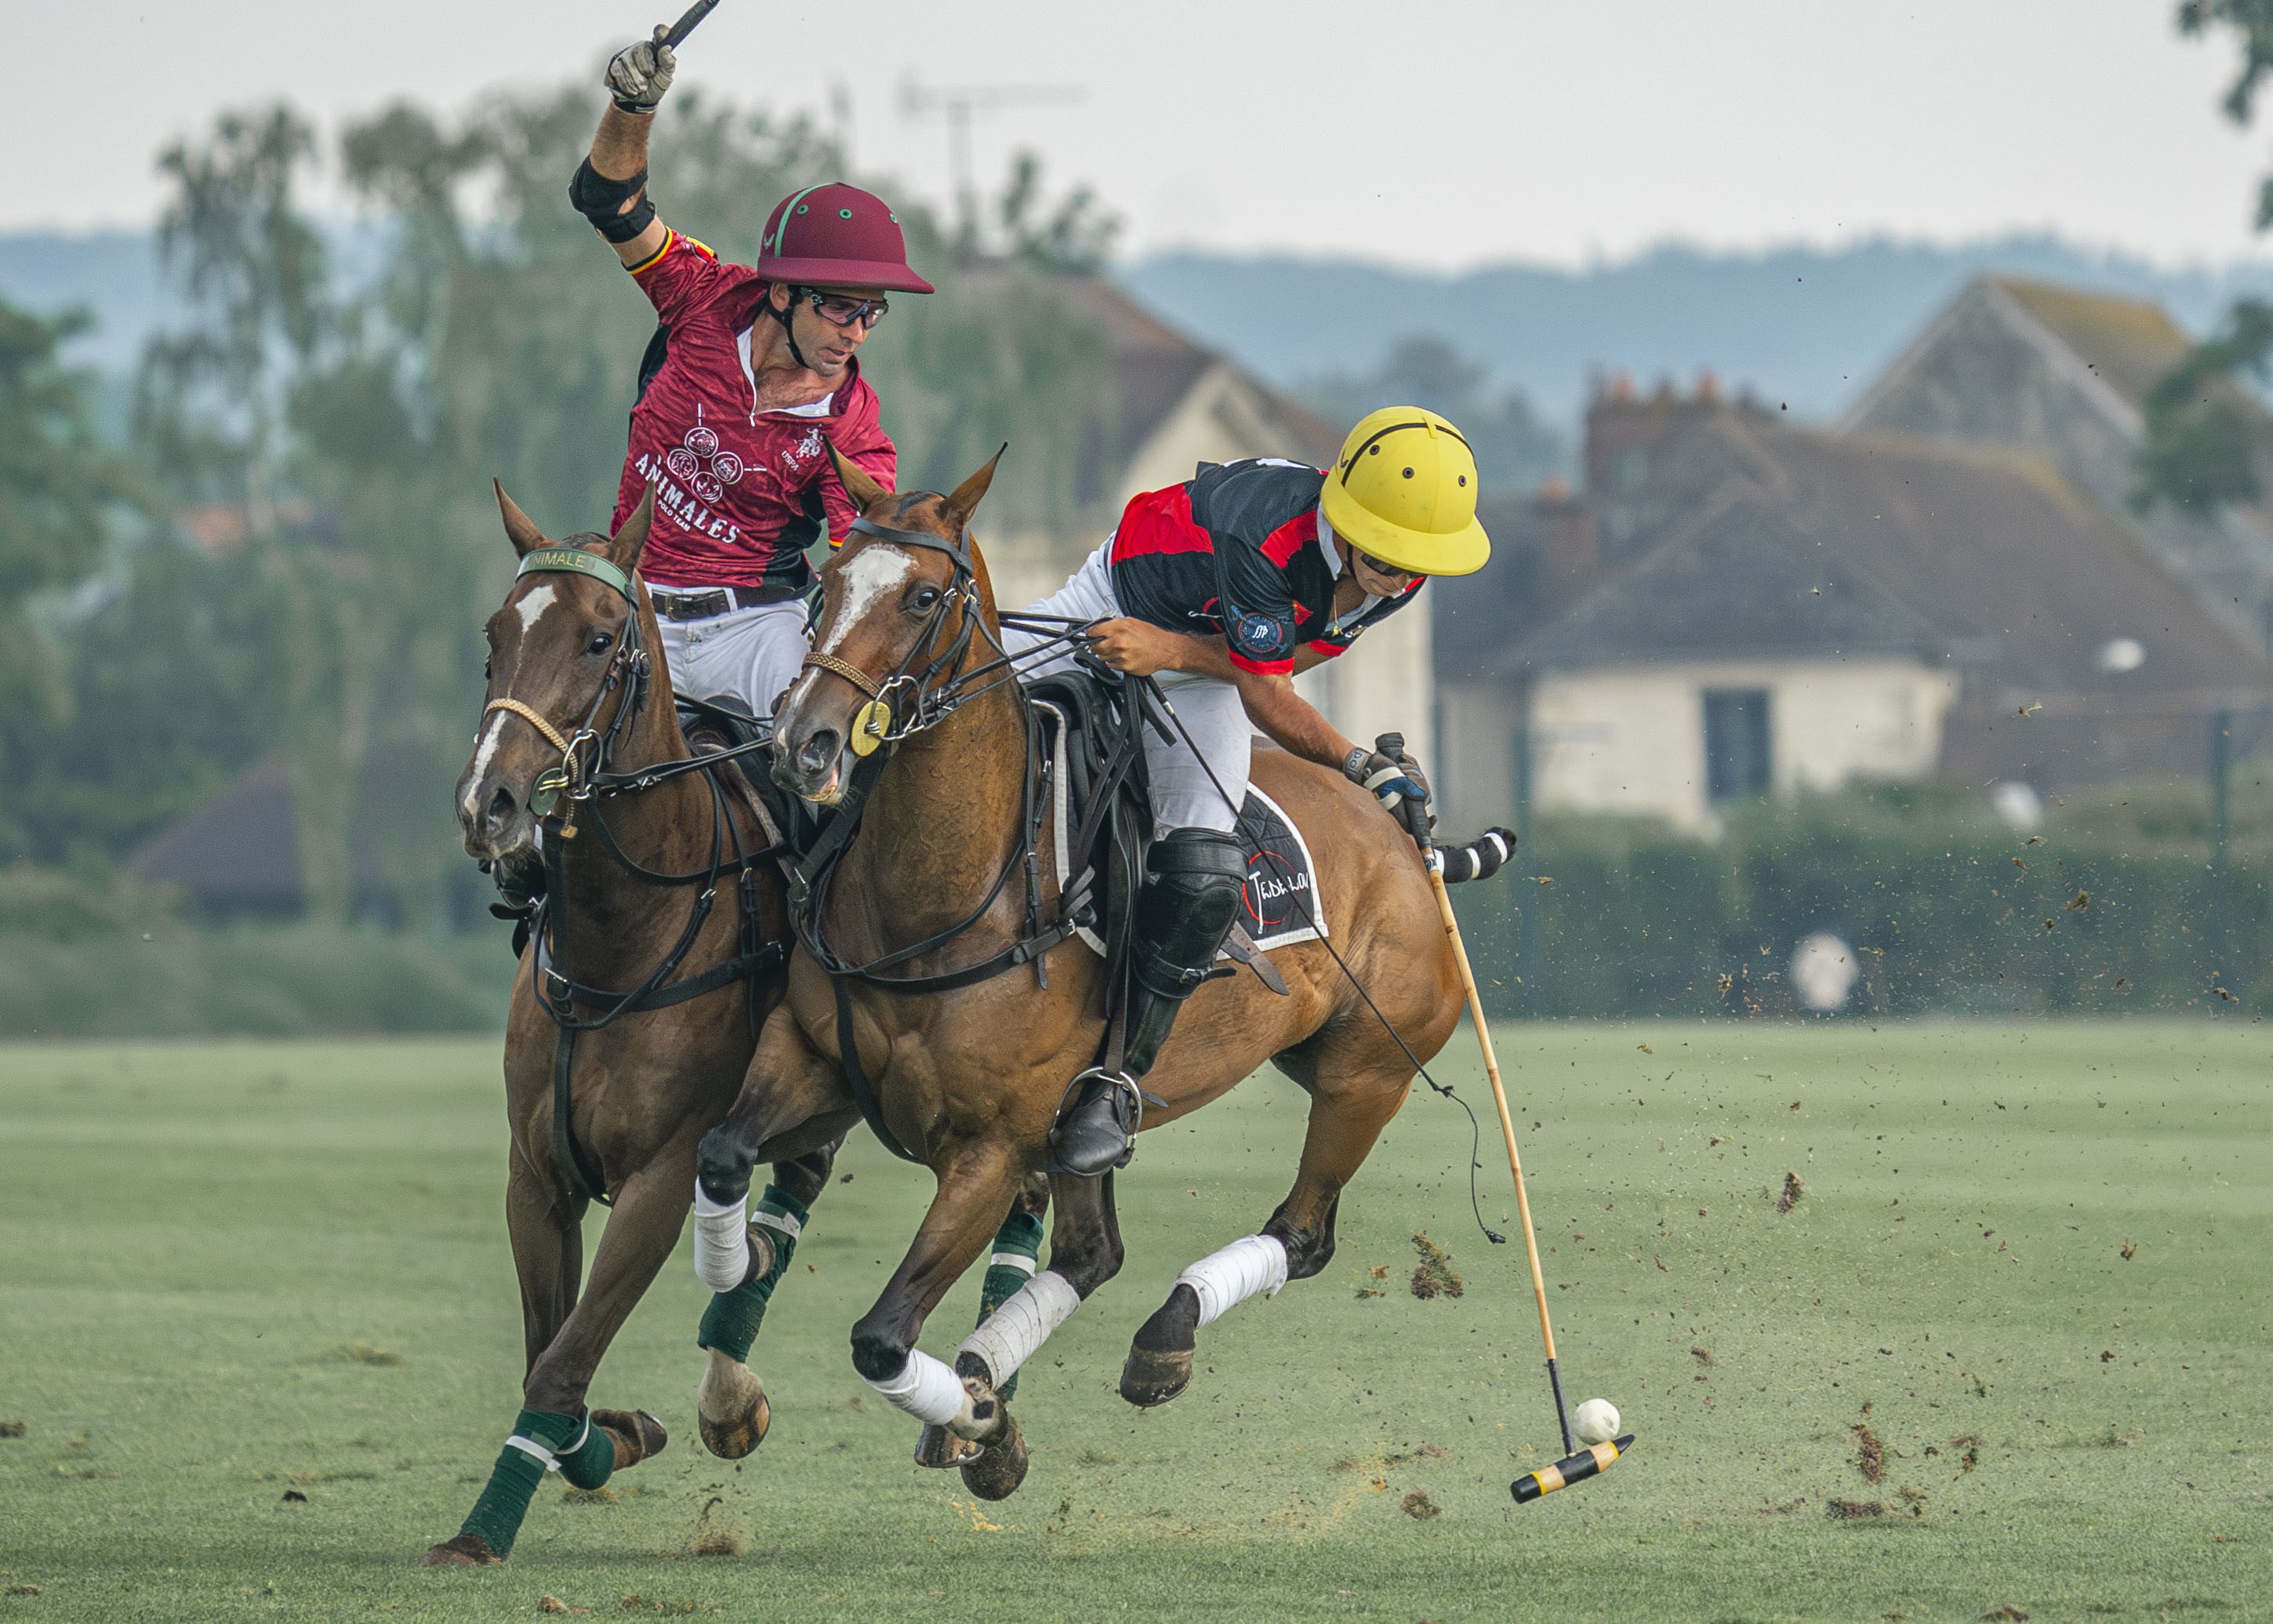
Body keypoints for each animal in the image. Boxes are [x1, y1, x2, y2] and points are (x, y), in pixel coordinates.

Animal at [429, 480, 850, 1555]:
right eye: (494, 636)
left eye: (596, 640)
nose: (488, 805)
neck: (622, 941)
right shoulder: (537, 1174)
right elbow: (549, 1357)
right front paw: (613, 1435)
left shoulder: (661, 1177)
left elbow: (562, 1361)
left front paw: (484, 1530)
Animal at [691, 452, 1463, 1491]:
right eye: (827, 584)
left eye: (924, 596)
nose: (799, 744)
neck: (936, 894)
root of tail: (1404, 842)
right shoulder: (810, 1055)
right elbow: (723, 1153)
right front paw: (739, 1273)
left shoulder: (990, 1149)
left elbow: (881, 1338)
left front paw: (982, 1423)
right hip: (1122, 1118)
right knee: (1098, 1248)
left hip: (1363, 1073)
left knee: (1301, 1234)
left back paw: (1160, 1334)